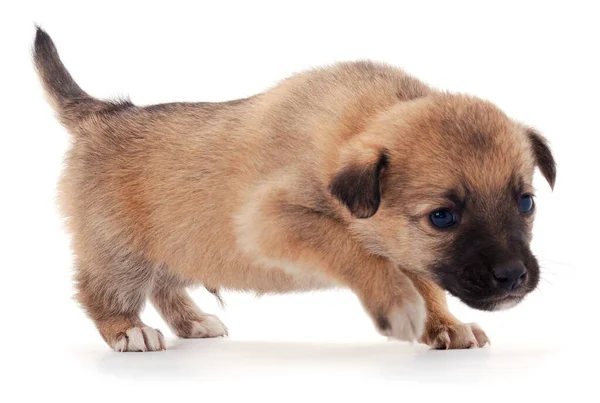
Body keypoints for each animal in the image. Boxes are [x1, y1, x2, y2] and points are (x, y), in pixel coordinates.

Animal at [35, 26, 556, 352]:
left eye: (526, 202)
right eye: (442, 217)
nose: (513, 277)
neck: (358, 121)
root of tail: (104, 113)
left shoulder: (408, 250)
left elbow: (425, 278)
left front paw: (443, 325)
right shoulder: (272, 221)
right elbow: (355, 248)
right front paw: (398, 304)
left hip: (172, 243)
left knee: (165, 284)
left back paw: (193, 321)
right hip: (117, 250)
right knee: (100, 290)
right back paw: (128, 331)